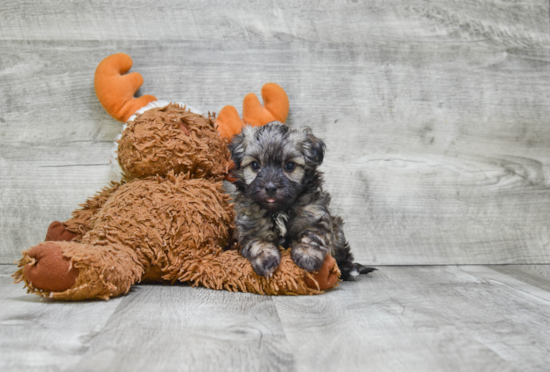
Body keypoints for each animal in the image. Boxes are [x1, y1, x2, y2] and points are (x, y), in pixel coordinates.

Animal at [229, 120, 376, 280]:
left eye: (289, 165)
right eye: (255, 165)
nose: (270, 187)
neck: (279, 210)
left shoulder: (313, 214)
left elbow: (311, 236)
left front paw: (307, 257)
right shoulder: (251, 222)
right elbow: (258, 243)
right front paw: (266, 261)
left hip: (338, 235)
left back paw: (349, 269)